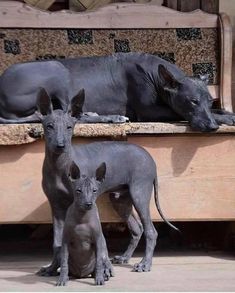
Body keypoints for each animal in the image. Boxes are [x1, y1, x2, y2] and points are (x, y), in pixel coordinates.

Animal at [0, 52, 234, 130]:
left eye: (210, 101)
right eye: (192, 101)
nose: (212, 127)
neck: (154, 73)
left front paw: (225, 113)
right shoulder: (148, 112)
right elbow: (177, 112)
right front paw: (224, 118)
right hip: (57, 69)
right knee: (70, 113)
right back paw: (112, 117)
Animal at [37, 88, 178, 274]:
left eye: (69, 127)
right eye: (49, 126)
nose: (61, 146)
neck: (60, 165)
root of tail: (149, 157)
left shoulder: (87, 202)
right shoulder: (56, 206)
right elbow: (57, 243)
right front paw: (53, 268)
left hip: (139, 193)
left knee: (150, 231)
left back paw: (145, 264)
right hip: (120, 199)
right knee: (137, 228)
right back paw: (125, 257)